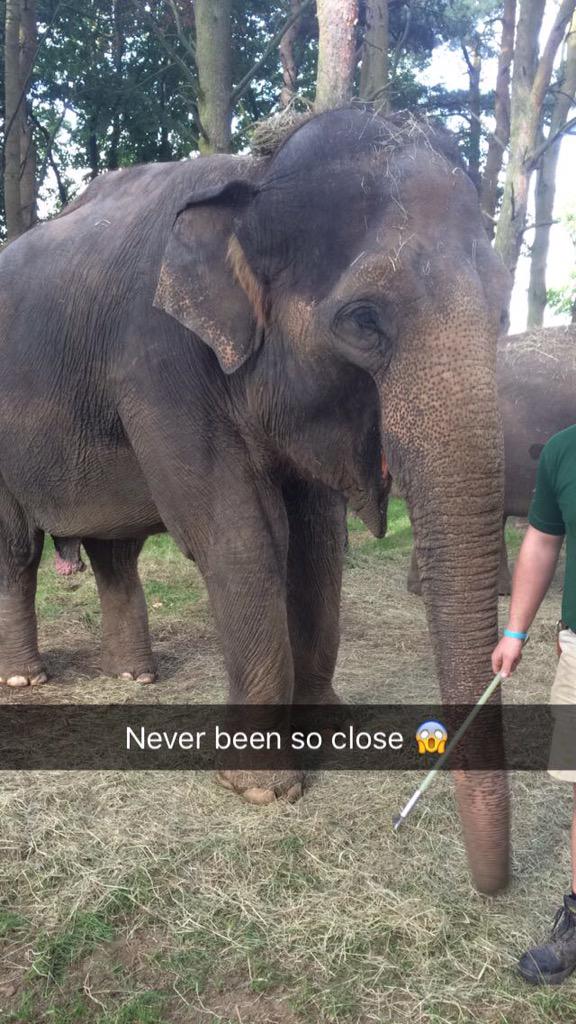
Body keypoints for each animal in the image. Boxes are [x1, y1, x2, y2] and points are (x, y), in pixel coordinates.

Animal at [0, 107, 509, 892]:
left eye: (506, 299)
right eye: (363, 320)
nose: (492, 889)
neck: (255, 175)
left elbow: (319, 539)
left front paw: (332, 730)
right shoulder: (156, 358)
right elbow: (243, 535)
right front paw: (264, 789)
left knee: (116, 553)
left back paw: (135, 676)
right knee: (17, 550)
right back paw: (26, 677)